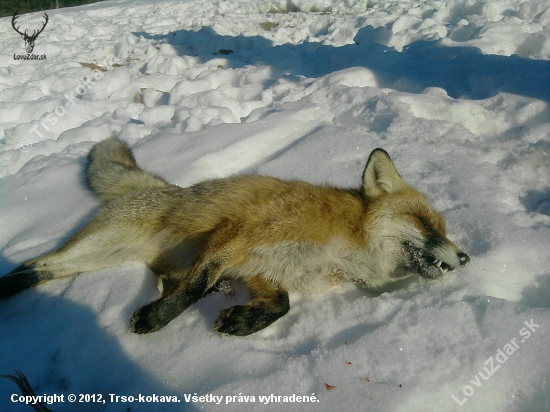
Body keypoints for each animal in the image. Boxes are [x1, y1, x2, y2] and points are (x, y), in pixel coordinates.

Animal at [1, 138, 470, 334]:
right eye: (427, 224)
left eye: (444, 229)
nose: (465, 258)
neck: (339, 247)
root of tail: (166, 188)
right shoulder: (240, 234)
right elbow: (195, 287)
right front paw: (154, 320)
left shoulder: (263, 268)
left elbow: (279, 305)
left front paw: (240, 323)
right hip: (100, 245)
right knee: (34, 263)